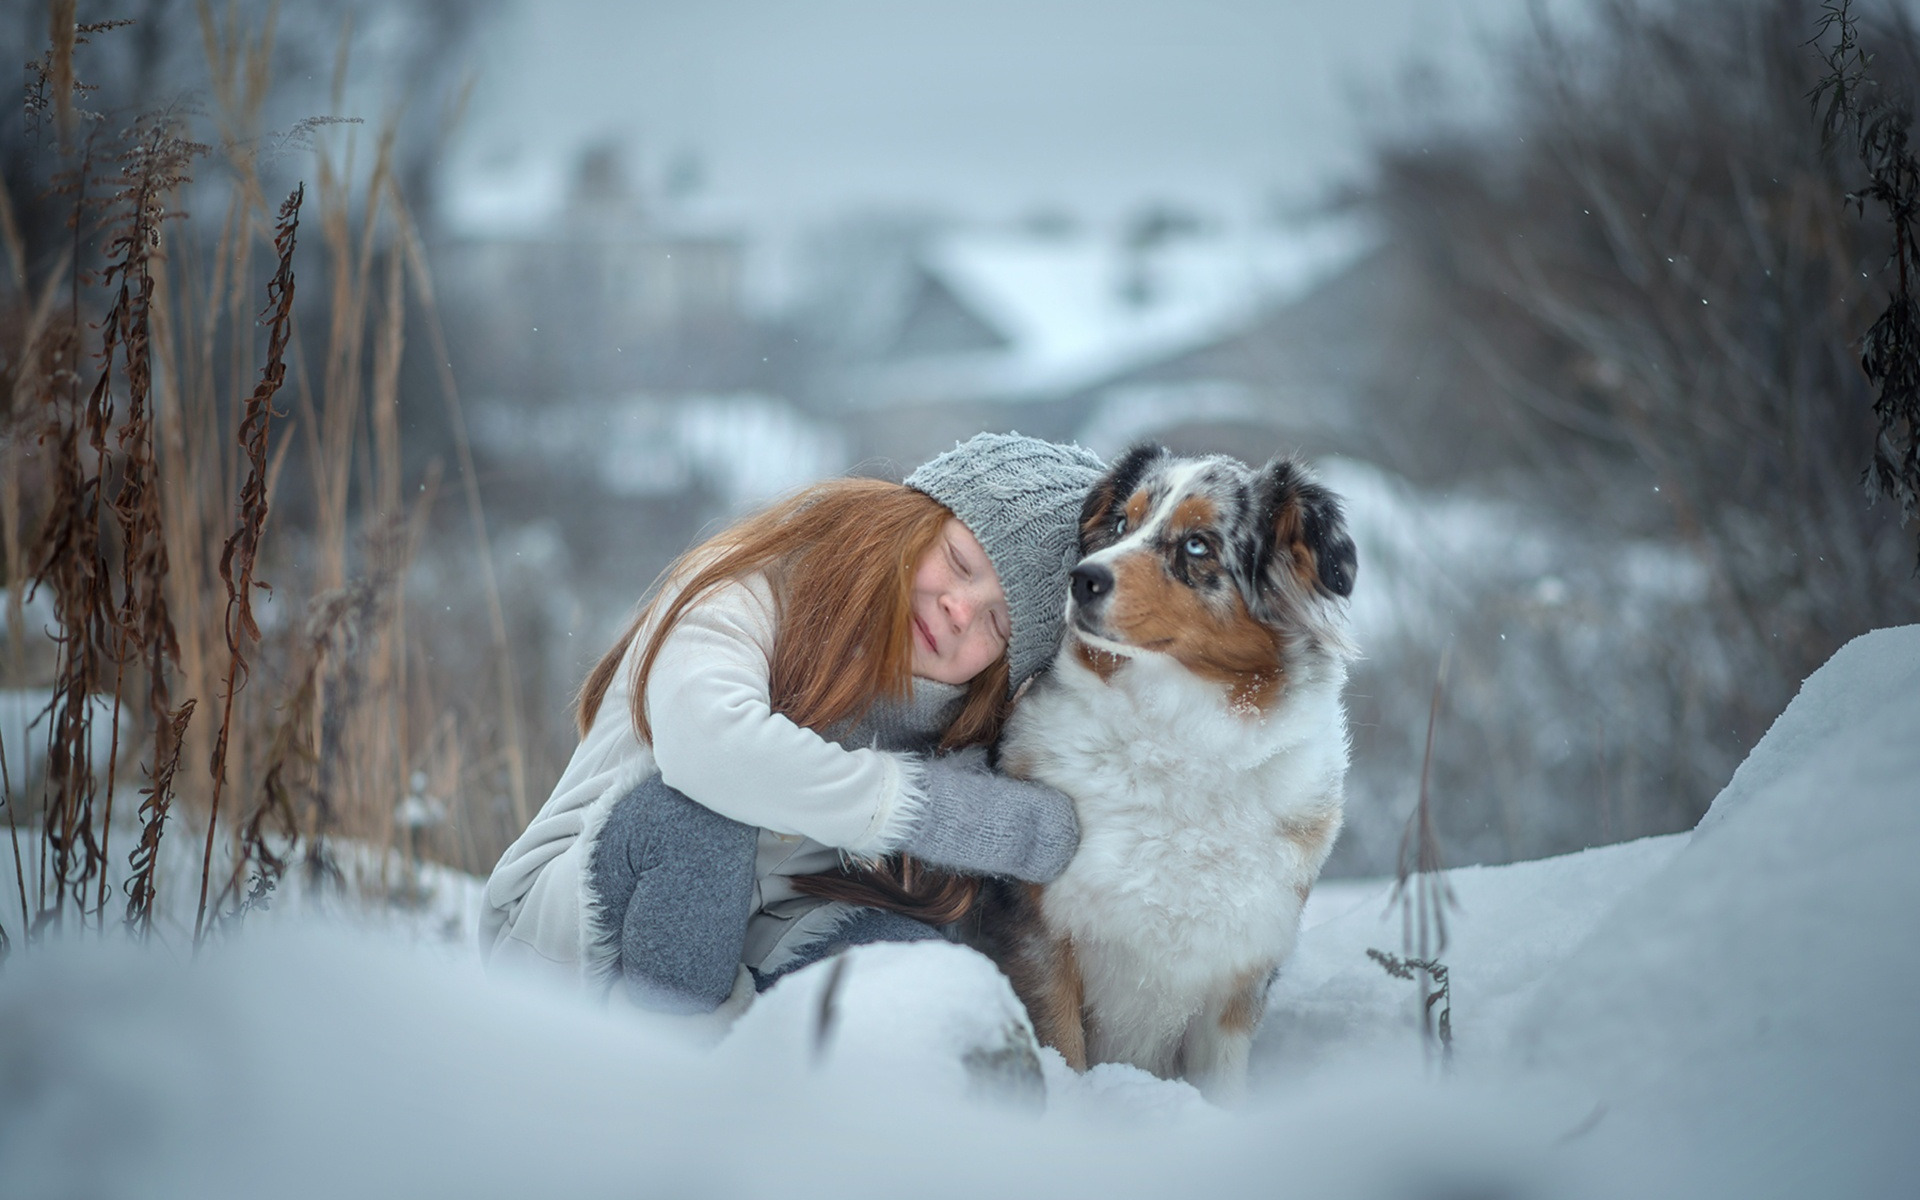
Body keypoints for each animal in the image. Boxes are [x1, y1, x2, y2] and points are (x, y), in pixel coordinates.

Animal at [967, 445, 1359, 1098]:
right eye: (1123, 524)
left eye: (1198, 545)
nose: (1083, 577)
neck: (1176, 739)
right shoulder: (1041, 940)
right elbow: (1064, 1054)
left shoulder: (1235, 981)